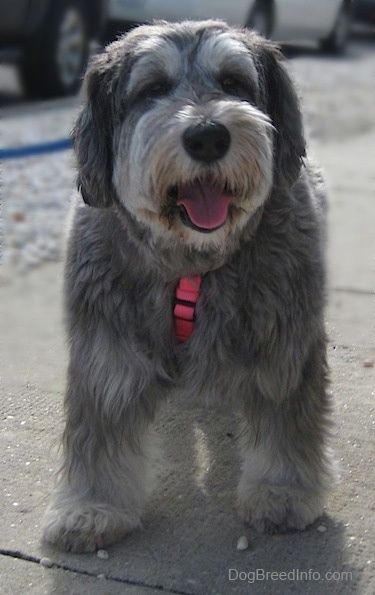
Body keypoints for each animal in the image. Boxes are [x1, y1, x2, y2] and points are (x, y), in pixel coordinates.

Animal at [42, 19, 336, 556]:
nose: (207, 136)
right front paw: (91, 507)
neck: (192, 264)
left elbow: (287, 423)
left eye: (234, 83)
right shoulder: (107, 348)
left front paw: (283, 492)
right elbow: (99, 430)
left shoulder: (284, 345)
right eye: (152, 89)